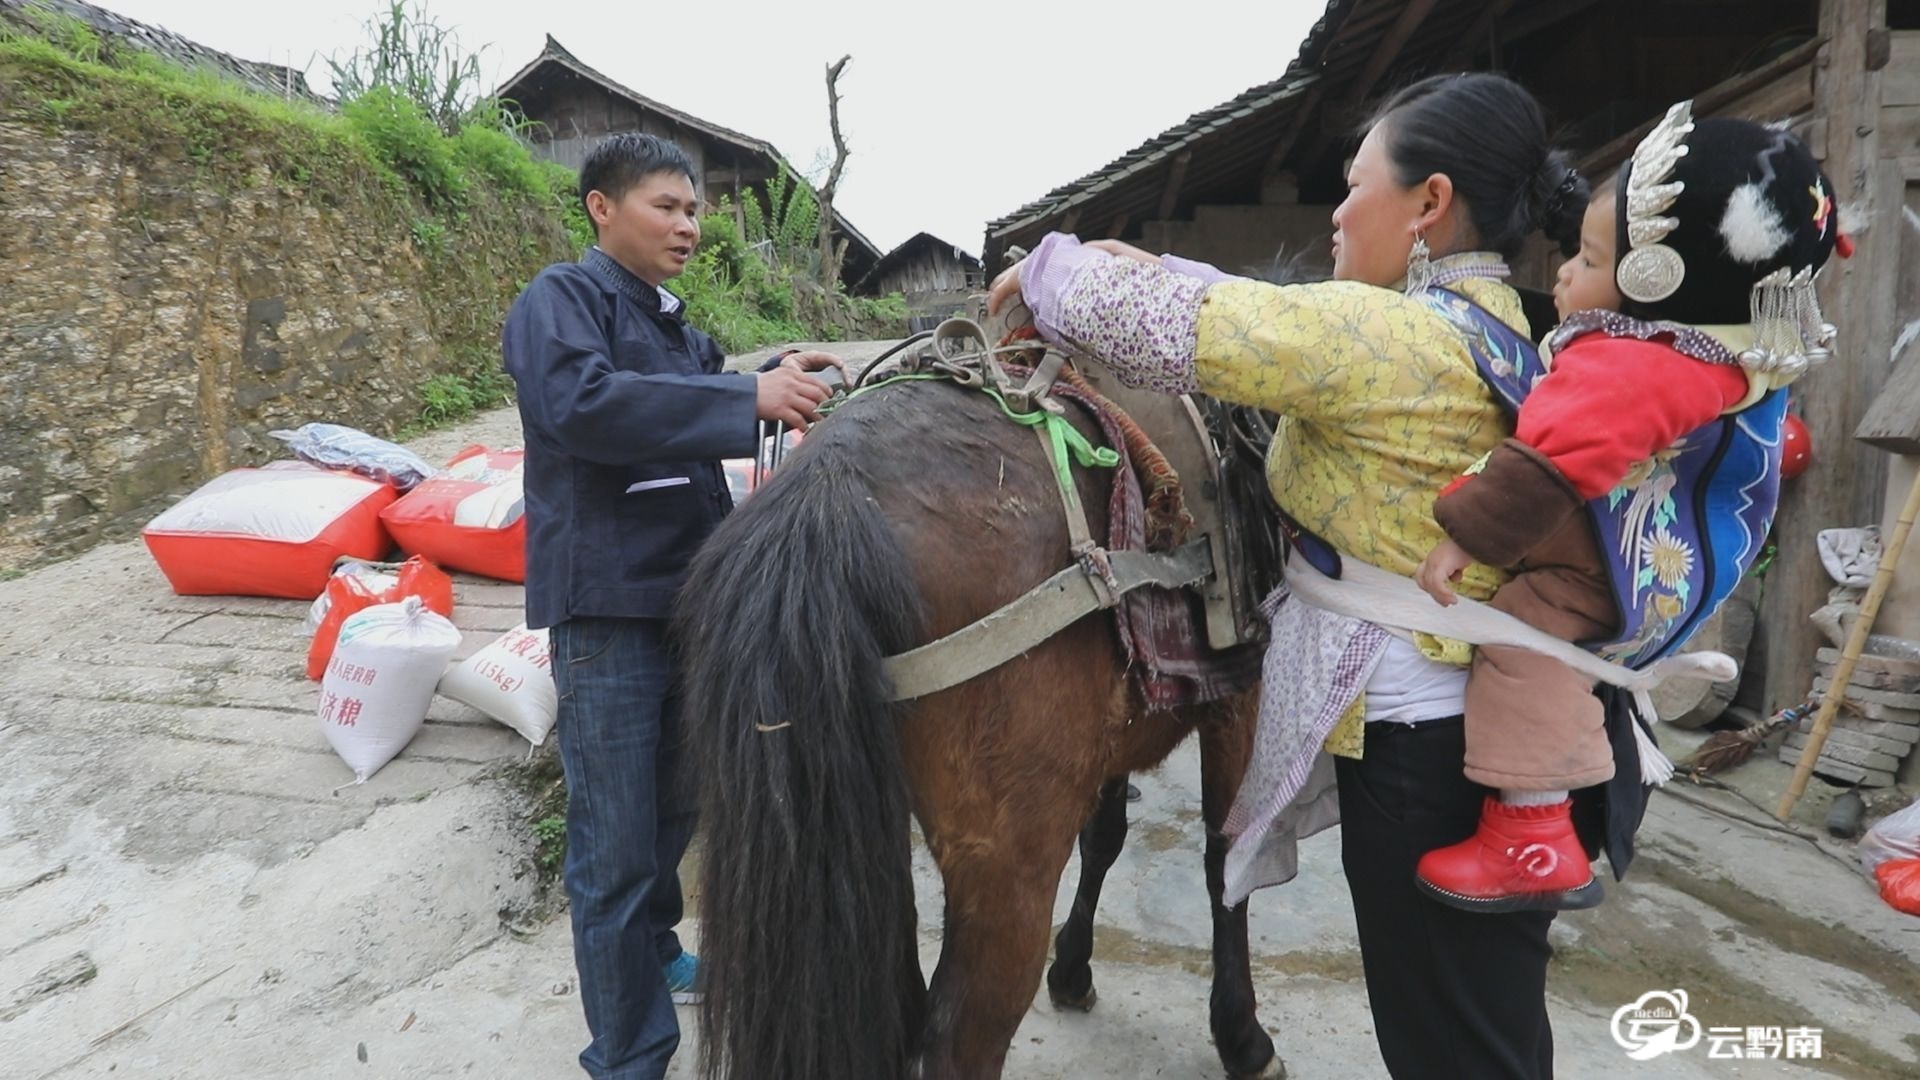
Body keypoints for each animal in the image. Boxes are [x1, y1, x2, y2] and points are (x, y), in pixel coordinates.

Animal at [683, 372, 1282, 1076]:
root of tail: (828, 498)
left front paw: (1072, 969)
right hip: (1007, 865)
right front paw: (1242, 1035)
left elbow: (1105, 837)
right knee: (958, 1037)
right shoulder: (1241, 697)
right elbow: (1226, 860)